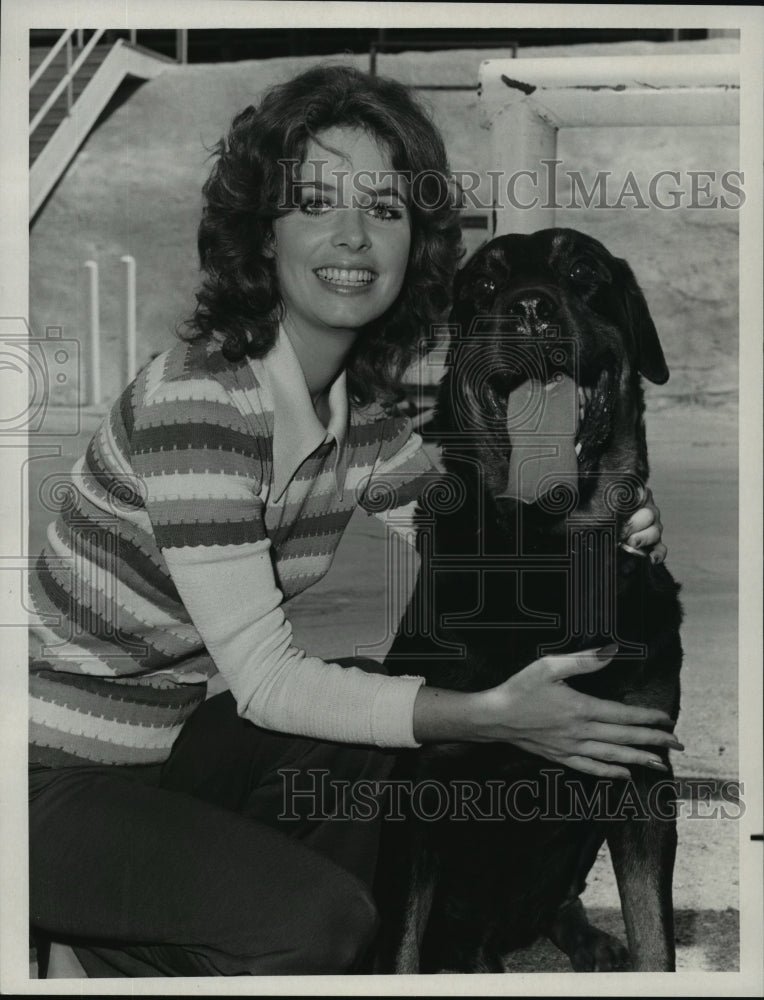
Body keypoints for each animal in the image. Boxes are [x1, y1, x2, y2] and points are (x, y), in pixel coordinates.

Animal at [374, 230, 684, 972]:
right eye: (484, 286)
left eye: (583, 271)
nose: (531, 308)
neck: (546, 547)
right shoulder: (423, 777)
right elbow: (399, 947)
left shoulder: (642, 767)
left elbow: (655, 937)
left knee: (561, 902)